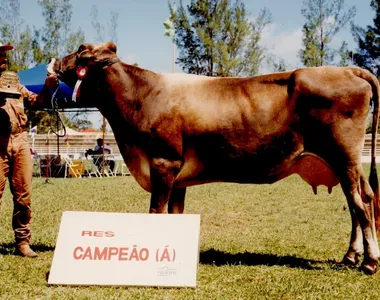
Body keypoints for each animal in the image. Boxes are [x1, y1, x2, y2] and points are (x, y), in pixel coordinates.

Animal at [48, 41, 380, 274]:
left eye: (80, 51)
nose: (51, 62)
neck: (144, 96)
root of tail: (347, 69)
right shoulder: (177, 175)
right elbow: (175, 213)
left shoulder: (163, 162)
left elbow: (156, 211)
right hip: (344, 162)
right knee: (360, 200)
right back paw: (351, 256)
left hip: (344, 155)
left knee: (360, 202)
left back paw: (369, 262)